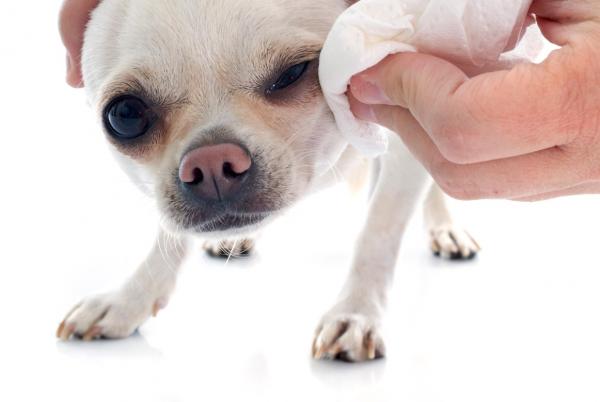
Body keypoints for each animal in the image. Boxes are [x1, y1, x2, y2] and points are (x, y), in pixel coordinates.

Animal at [56, 0, 478, 362]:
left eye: (292, 73)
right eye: (125, 115)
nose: (211, 163)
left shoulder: (408, 134)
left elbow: (378, 232)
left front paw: (355, 312)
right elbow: (169, 237)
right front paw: (130, 300)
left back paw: (445, 228)